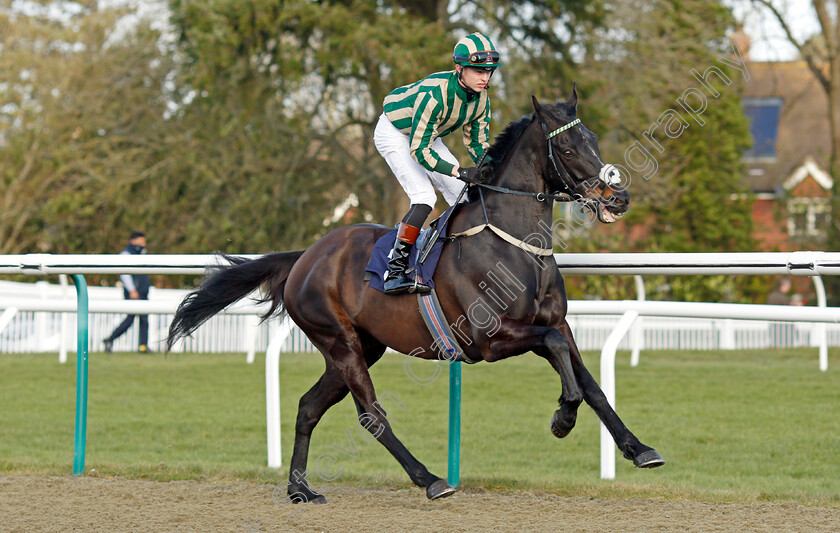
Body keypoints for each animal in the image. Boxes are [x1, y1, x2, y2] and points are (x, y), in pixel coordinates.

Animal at [167, 88, 668, 502]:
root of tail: (306, 256)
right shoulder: (491, 339)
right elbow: (557, 349)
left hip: (361, 347)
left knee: (308, 407)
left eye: (594, 139)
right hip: (339, 342)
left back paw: (300, 489)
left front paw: (639, 448)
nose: (618, 198)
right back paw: (430, 479)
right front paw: (563, 418)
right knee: (371, 415)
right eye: (566, 148)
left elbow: (590, 381)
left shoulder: (556, 320)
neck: (514, 246)